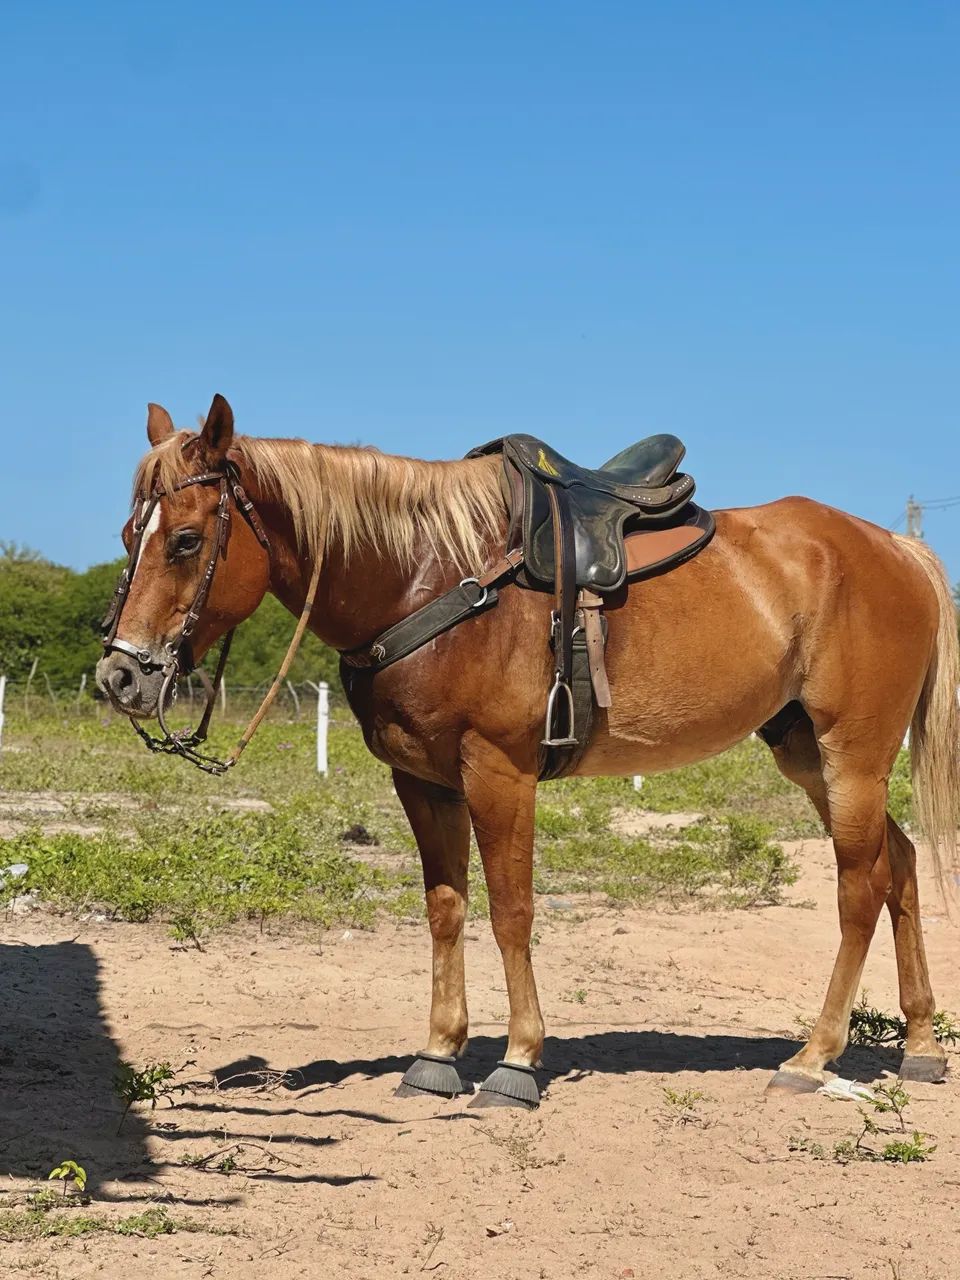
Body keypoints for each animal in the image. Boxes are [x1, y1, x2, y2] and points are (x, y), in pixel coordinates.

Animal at [96, 394, 960, 1108]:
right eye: (129, 535)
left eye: (184, 540)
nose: (121, 676)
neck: (429, 577)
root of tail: (897, 549)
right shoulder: (422, 781)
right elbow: (445, 909)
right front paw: (438, 1054)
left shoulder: (499, 773)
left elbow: (511, 911)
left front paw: (516, 1063)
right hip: (806, 752)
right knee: (901, 865)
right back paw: (919, 1043)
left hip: (853, 756)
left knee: (859, 889)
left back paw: (813, 1058)